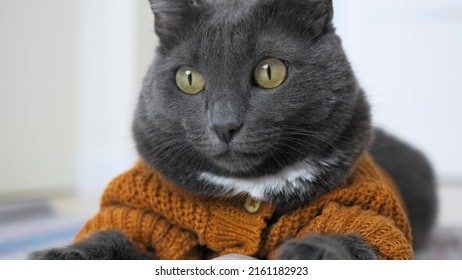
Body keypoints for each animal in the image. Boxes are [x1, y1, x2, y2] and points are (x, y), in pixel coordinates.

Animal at [29, 0, 436, 260]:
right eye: (188, 78)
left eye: (270, 72)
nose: (224, 124)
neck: (248, 187)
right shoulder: (145, 212)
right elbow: (113, 232)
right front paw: (62, 255)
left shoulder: (367, 208)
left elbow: (358, 238)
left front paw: (311, 252)